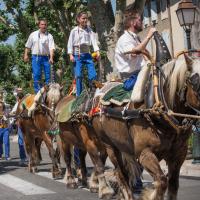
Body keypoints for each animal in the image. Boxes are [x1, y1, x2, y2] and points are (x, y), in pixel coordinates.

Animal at [91, 55, 200, 200]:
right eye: (195, 83)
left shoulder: (178, 154)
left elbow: (172, 184)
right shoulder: (145, 154)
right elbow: (161, 181)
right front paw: (150, 194)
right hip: (110, 146)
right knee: (121, 174)